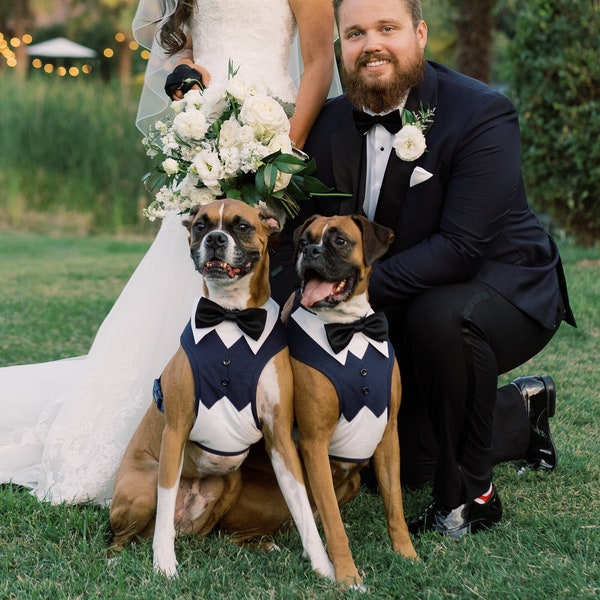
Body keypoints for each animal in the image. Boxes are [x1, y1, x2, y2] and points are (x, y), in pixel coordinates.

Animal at [108, 200, 332, 580]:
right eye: (201, 225)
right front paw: (164, 565)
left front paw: (325, 567)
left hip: (231, 483)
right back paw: (116, 557)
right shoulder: (175, 431)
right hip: (144, 487)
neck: (231, 317)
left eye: (242, 226)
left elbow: (301, 506)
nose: (214, 238)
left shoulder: (280, 439)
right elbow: (165, 510)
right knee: (130, 533)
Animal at [290, 214, 418, 584]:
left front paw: (407, 554)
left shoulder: (389, 437)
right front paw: (347, 576)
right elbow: (336, 526)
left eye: (340, 241)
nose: (310, 251)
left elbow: (395, 506)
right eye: (304, 241)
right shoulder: (314, 443)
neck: (349, 329)